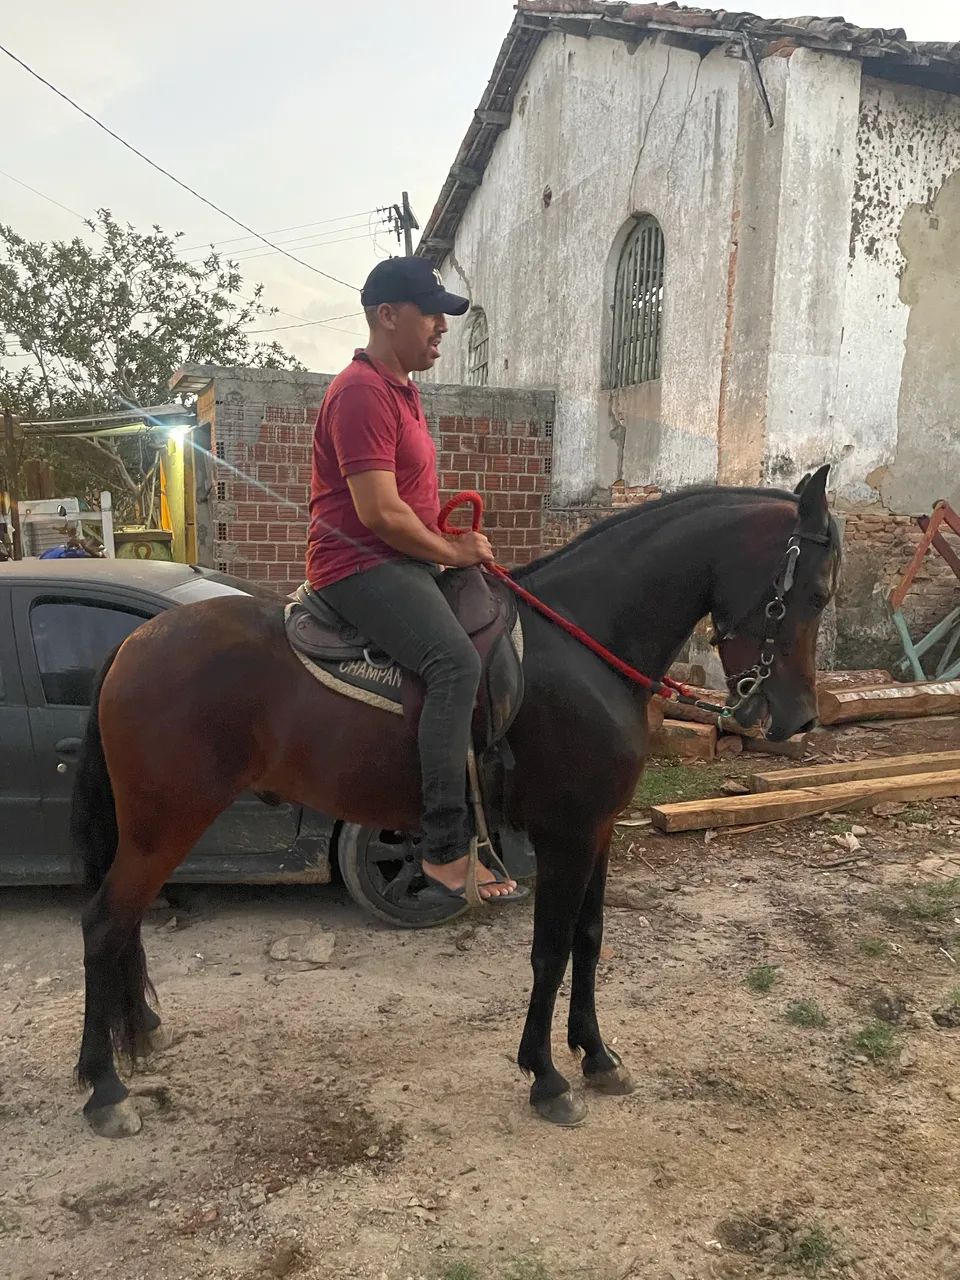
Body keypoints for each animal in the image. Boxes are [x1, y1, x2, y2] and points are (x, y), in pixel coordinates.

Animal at [71, 466, 839, 1137]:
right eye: (814, 593)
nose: (799, 717)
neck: (584, 643)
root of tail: (135, 641)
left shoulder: (596, 831)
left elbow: (589, 941)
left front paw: (595, 1056)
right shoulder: (564, 834)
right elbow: (551, 950)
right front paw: (546, 1077)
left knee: (124, 925)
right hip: (163, 825)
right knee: (105, 923)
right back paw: (104, 1088)